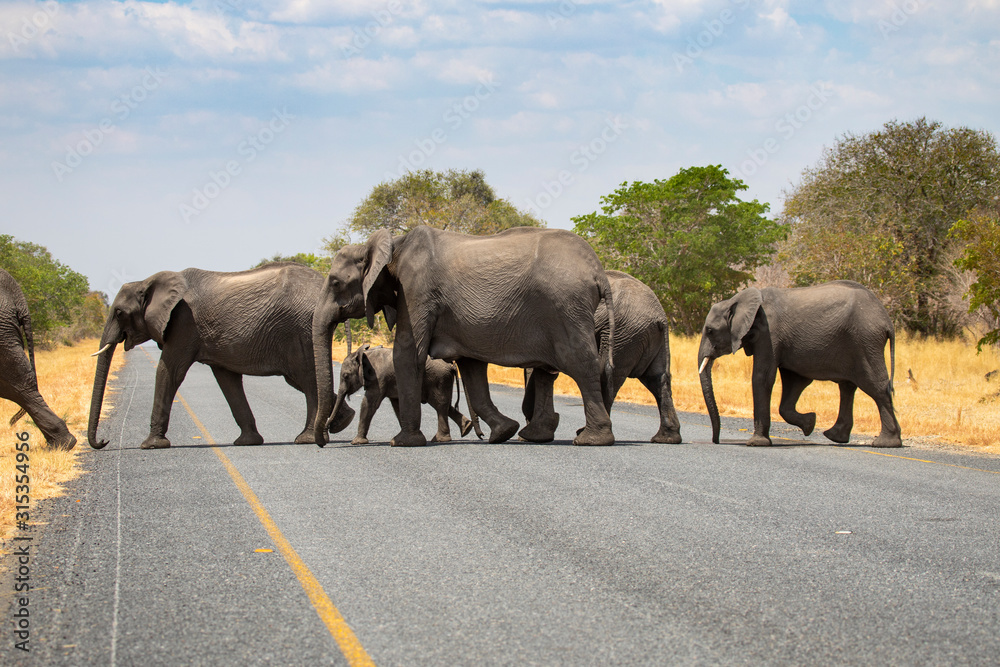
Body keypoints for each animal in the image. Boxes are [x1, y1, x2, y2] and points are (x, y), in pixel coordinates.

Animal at [89, 263, 325, 449]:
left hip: (301, 331)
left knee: (308, 379)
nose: (103, 441)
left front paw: (150, 445)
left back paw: (306, 438)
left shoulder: (183, 322)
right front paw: (247, 442)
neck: (147, 282)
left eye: (119, 313)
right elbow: (227, 380)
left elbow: (169, 371)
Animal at [328, 343, 478, 445]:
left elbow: (369, 404)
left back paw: (440, 439)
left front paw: (356, 442)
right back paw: (466, 428)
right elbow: (397, 405)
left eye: (346, 376)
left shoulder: (379, 378)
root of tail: (451, 365)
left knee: (439, 404)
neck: (365, 354)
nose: (328, 427)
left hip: (438, 378)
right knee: (444, 405)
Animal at [520, 270, 682, 444]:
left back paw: (587, 434)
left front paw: (528, 435)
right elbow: (542, 372)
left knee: (606, 373)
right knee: (657, 379)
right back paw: (666, 438)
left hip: (623, 332)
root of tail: (661, 317)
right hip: (645, 336)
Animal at [697, 280, 902, 448]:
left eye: (710, 331)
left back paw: (885, 443)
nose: (716, 441)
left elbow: (763, 378)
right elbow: (794, 382)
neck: (738, 300)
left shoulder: (769, 333)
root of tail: (887, 321)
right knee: (847, 386)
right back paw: (836, 437)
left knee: (876, 387)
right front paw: (810, 423)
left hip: (865, 342)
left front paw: (756, 443)